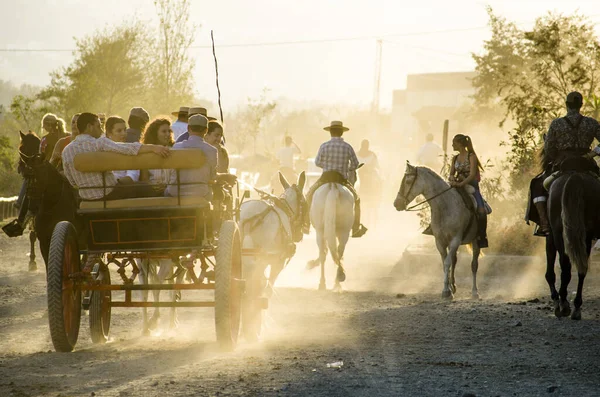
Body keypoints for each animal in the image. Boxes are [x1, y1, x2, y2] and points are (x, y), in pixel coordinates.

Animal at [238, 169, 308, 338]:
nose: (300, 234)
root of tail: (248, 217)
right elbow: (268, 289)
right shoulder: (277, 263)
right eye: (305, 202)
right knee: (257, 285)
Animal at [394, 162, 482, 298]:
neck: (444, 206)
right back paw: (454, 286)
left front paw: (446, 292)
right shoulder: (440, 241)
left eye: (408, 181)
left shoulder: (455, 240)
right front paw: (448, 289)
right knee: (454, 260)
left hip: (476, 240)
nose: (396, 203)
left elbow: (447, 263)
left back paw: (474, 292)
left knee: (474, 264)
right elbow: (445, 263)